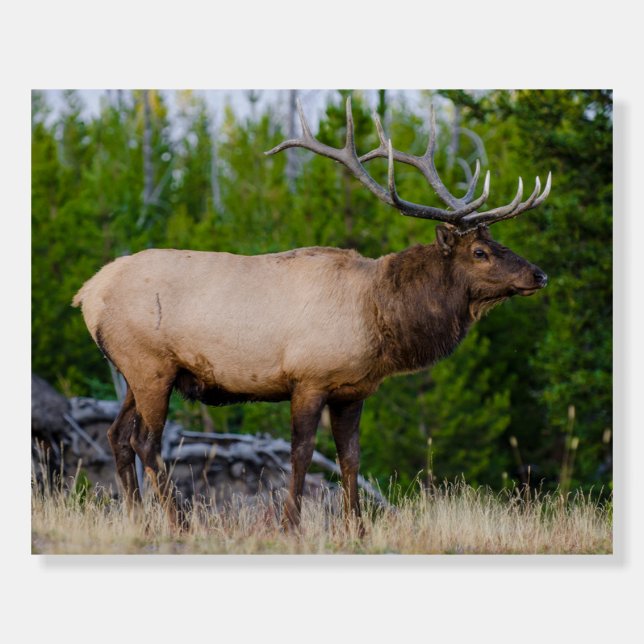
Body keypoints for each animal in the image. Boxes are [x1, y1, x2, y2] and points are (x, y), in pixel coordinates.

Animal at [72, 97, 550, 532]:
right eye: (480, 251)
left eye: (498, 243)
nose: (539, 274)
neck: (380, 316)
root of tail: (87, 294)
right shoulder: (308, 378)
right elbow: (301, 454)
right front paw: (290, 525)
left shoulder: (352, 390)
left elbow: (350, 457)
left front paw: (357, 528)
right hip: (151, 365)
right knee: (146, 442)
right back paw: (179, 523)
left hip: (135, 371)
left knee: (117, 436)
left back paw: (138, 521)